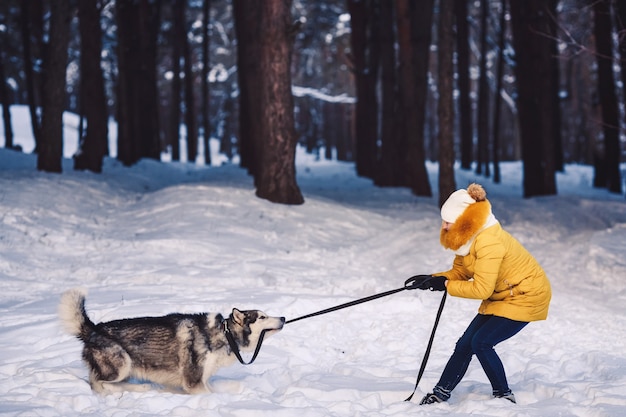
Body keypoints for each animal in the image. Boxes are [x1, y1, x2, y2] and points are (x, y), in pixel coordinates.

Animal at [58, 290, 282, 394]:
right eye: (262, 317)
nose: (283, 317)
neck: (223, 334)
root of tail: (94, 328)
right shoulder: (194, 383)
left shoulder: (201, 380)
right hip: (121, 364)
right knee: (102, 383)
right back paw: (138, 389)